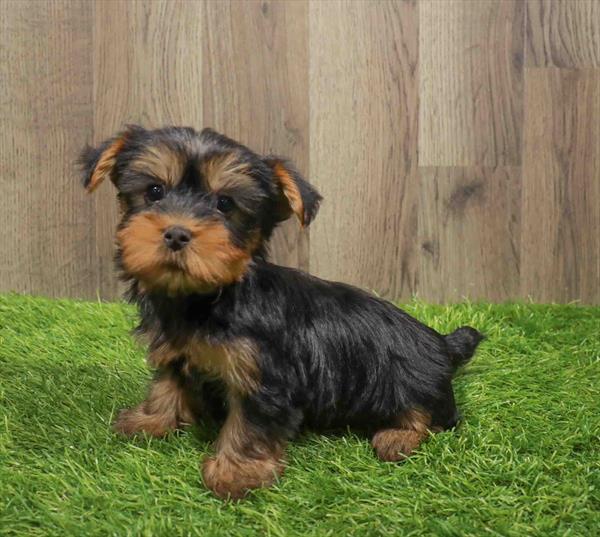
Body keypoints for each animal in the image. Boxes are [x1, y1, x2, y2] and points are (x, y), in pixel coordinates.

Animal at [79, 125, 482, 498]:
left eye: (225, 204)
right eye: (154, 191)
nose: (176, 234)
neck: (212, 295)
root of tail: (442, 343)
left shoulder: (266, 375)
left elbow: (249, 423)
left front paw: (235, 473)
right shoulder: (177, 351)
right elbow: (167, 384)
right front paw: (150, 420)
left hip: (410, 381)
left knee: (434, 416)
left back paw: (397, 437)